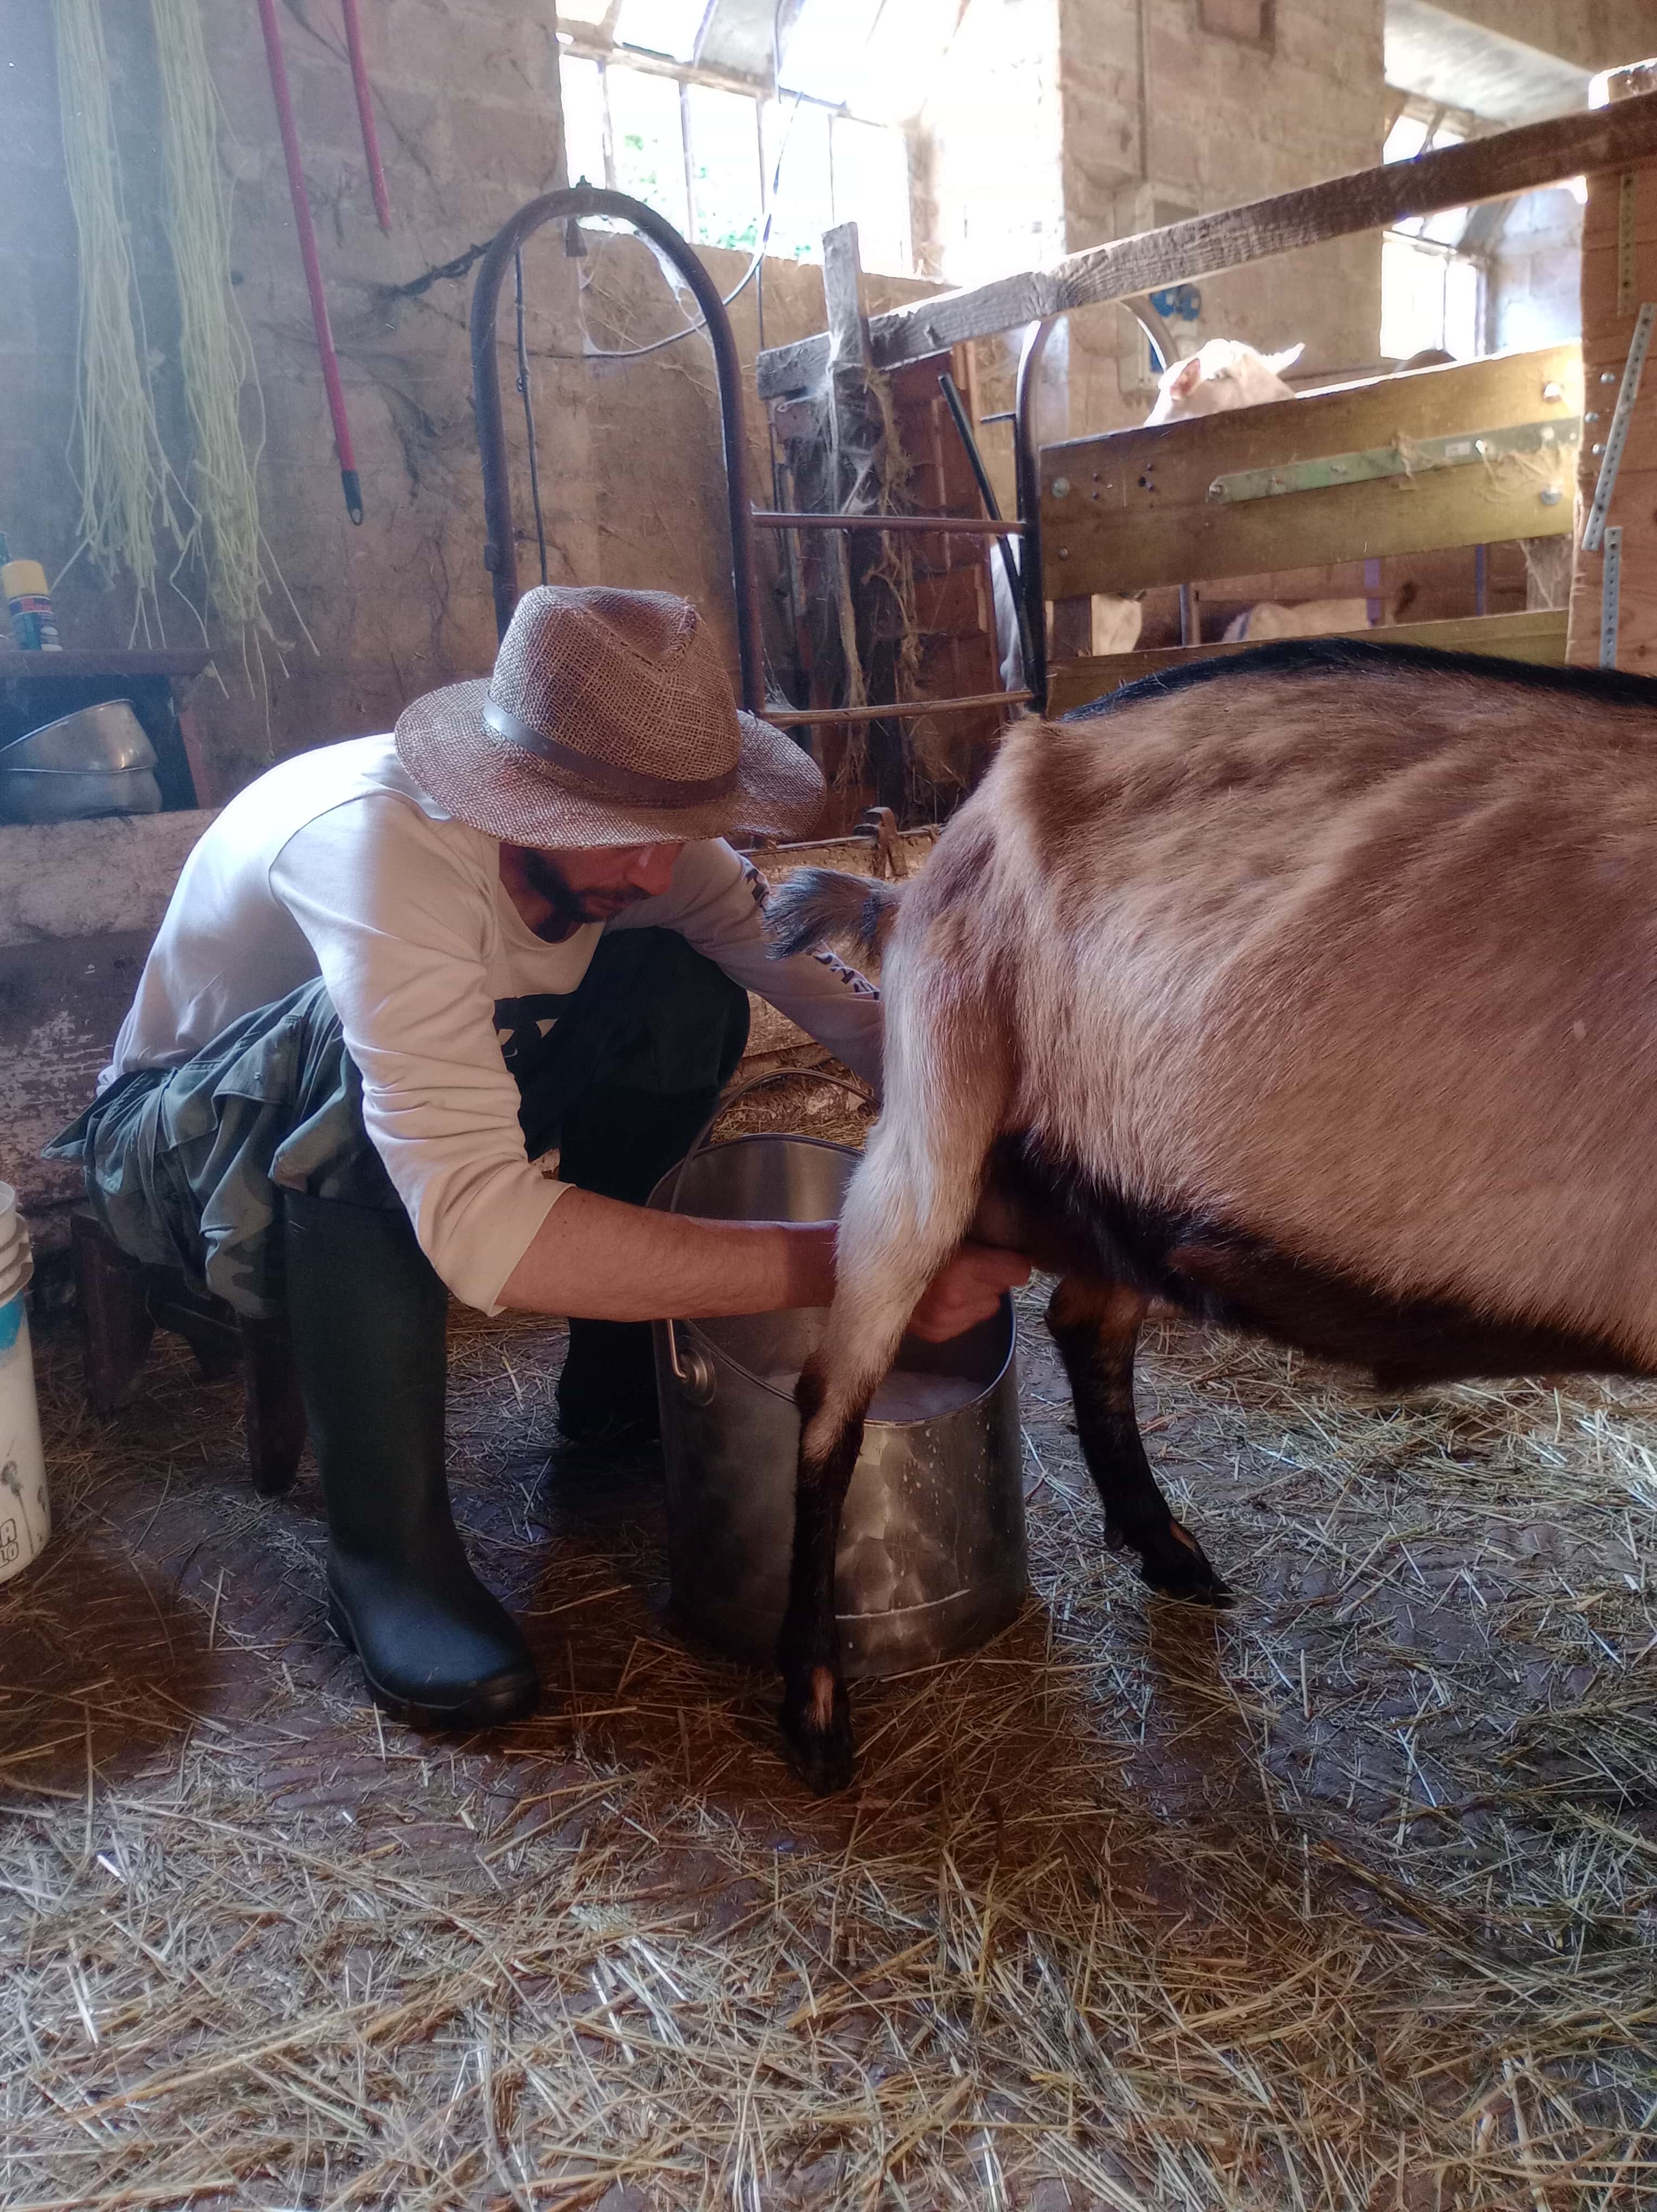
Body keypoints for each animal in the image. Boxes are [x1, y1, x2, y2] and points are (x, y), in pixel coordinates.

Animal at [769, 632, 1654, 1787]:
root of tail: (923, 871)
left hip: (1118, 1174)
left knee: (1084, 1324)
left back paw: (1169, 1553)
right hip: (932, 1118)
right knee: (833, 1394)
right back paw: (815, 1709)